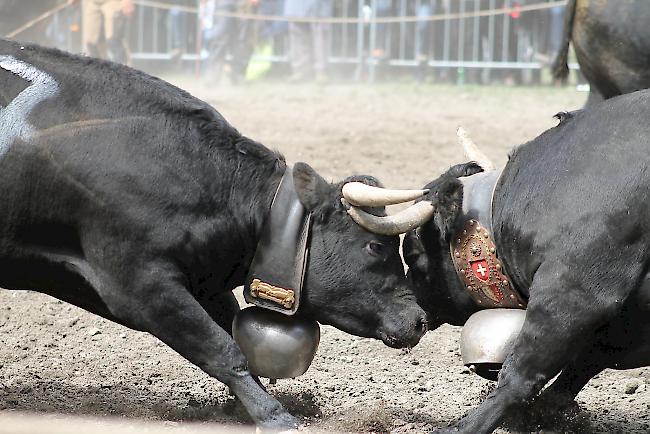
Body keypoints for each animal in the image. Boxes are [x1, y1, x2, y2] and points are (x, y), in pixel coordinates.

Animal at [0, 39, 430, 428]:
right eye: (375, 245)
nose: (419, 319)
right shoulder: (142, 286)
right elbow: (222, 349)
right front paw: (275, 415)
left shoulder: (204, 282)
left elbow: (233, 336)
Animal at [402, 90, 648, 432]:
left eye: (412, 253)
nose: (416, 310)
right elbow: (583, 364)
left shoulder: (574, 292)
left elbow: (521, 374)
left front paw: (466, 426)